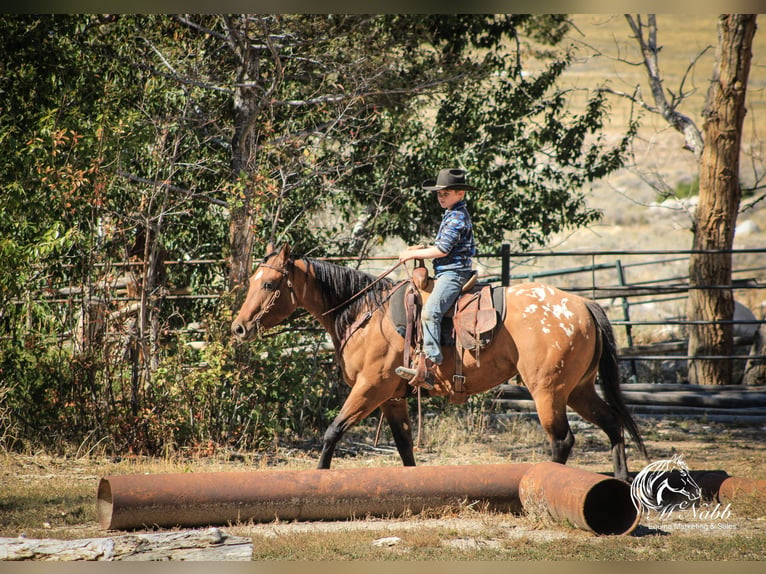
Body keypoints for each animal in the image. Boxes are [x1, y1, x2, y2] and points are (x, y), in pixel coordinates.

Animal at [232, 243, 648, 482]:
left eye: (269, 284)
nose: (238, 327)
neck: (365, 314)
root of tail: (584, 304)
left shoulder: (370, 388)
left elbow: (332, 432)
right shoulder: (392, 397)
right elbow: (404, 447)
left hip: (548, 391)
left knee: (562, 439)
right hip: (578, 389)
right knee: (612, 424)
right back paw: (621, 483)